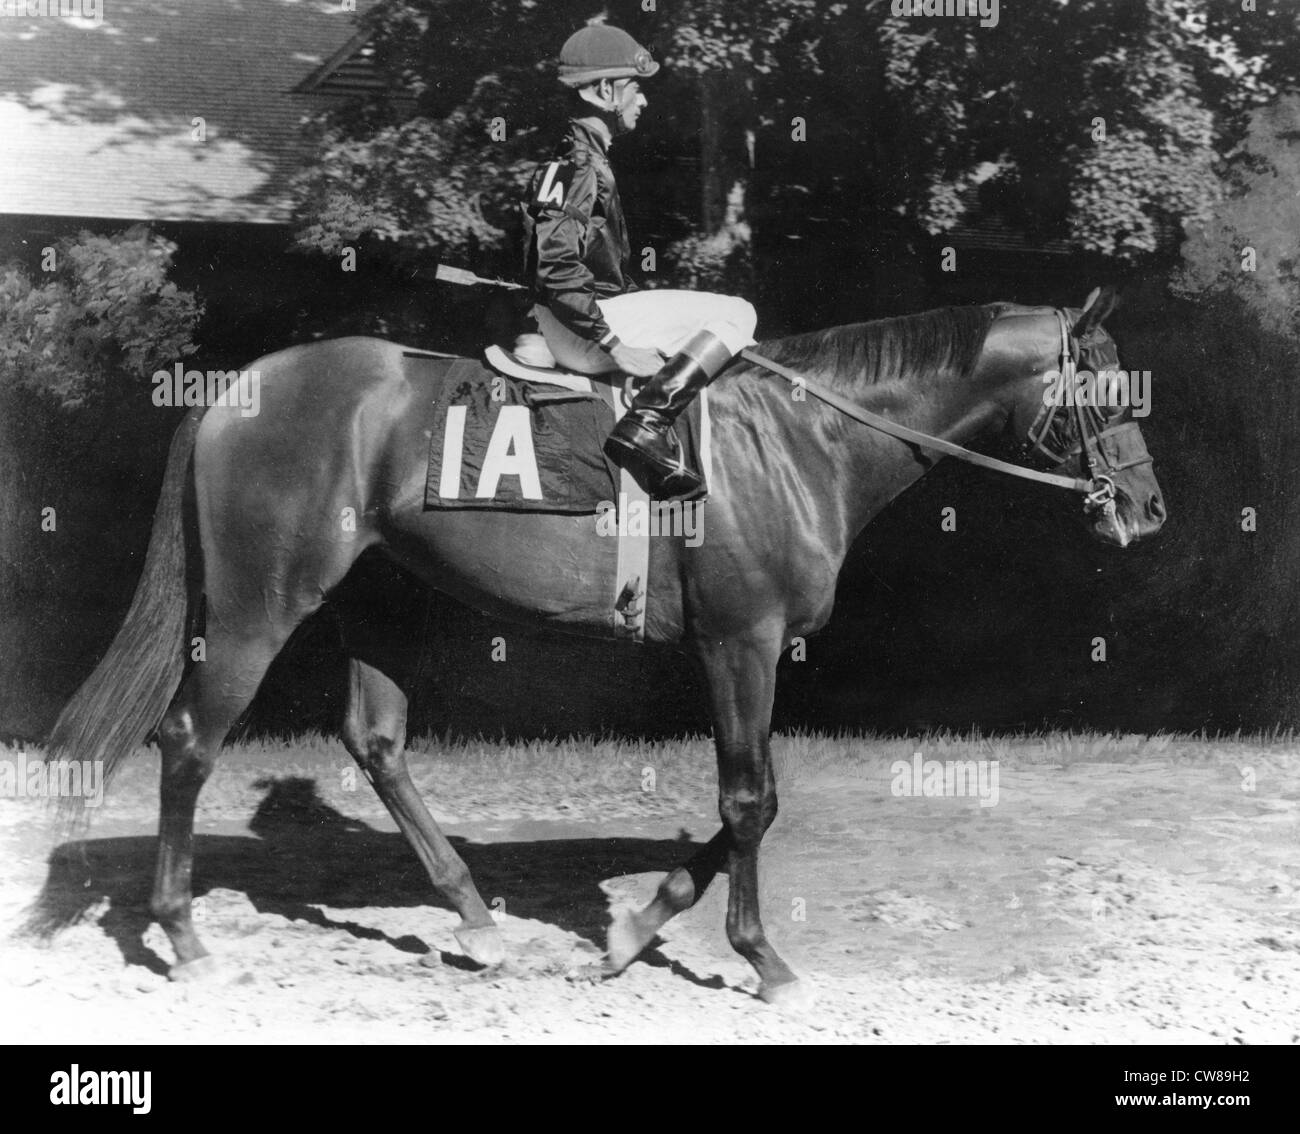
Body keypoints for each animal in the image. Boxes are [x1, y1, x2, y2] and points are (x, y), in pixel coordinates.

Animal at [48, 287, 1170, 1003]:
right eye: (1109, 392)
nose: (1148, 510)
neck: (802, 438)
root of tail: (234, 391)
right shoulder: (740, 643)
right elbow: (749, 800)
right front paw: (762, 962)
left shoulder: (744, 648)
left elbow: (748, 805)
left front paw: (630, 935)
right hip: (258, 604)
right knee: (189, 741)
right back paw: (184, 937)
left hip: (376, 597)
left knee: (375, 744)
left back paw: (476, 919)